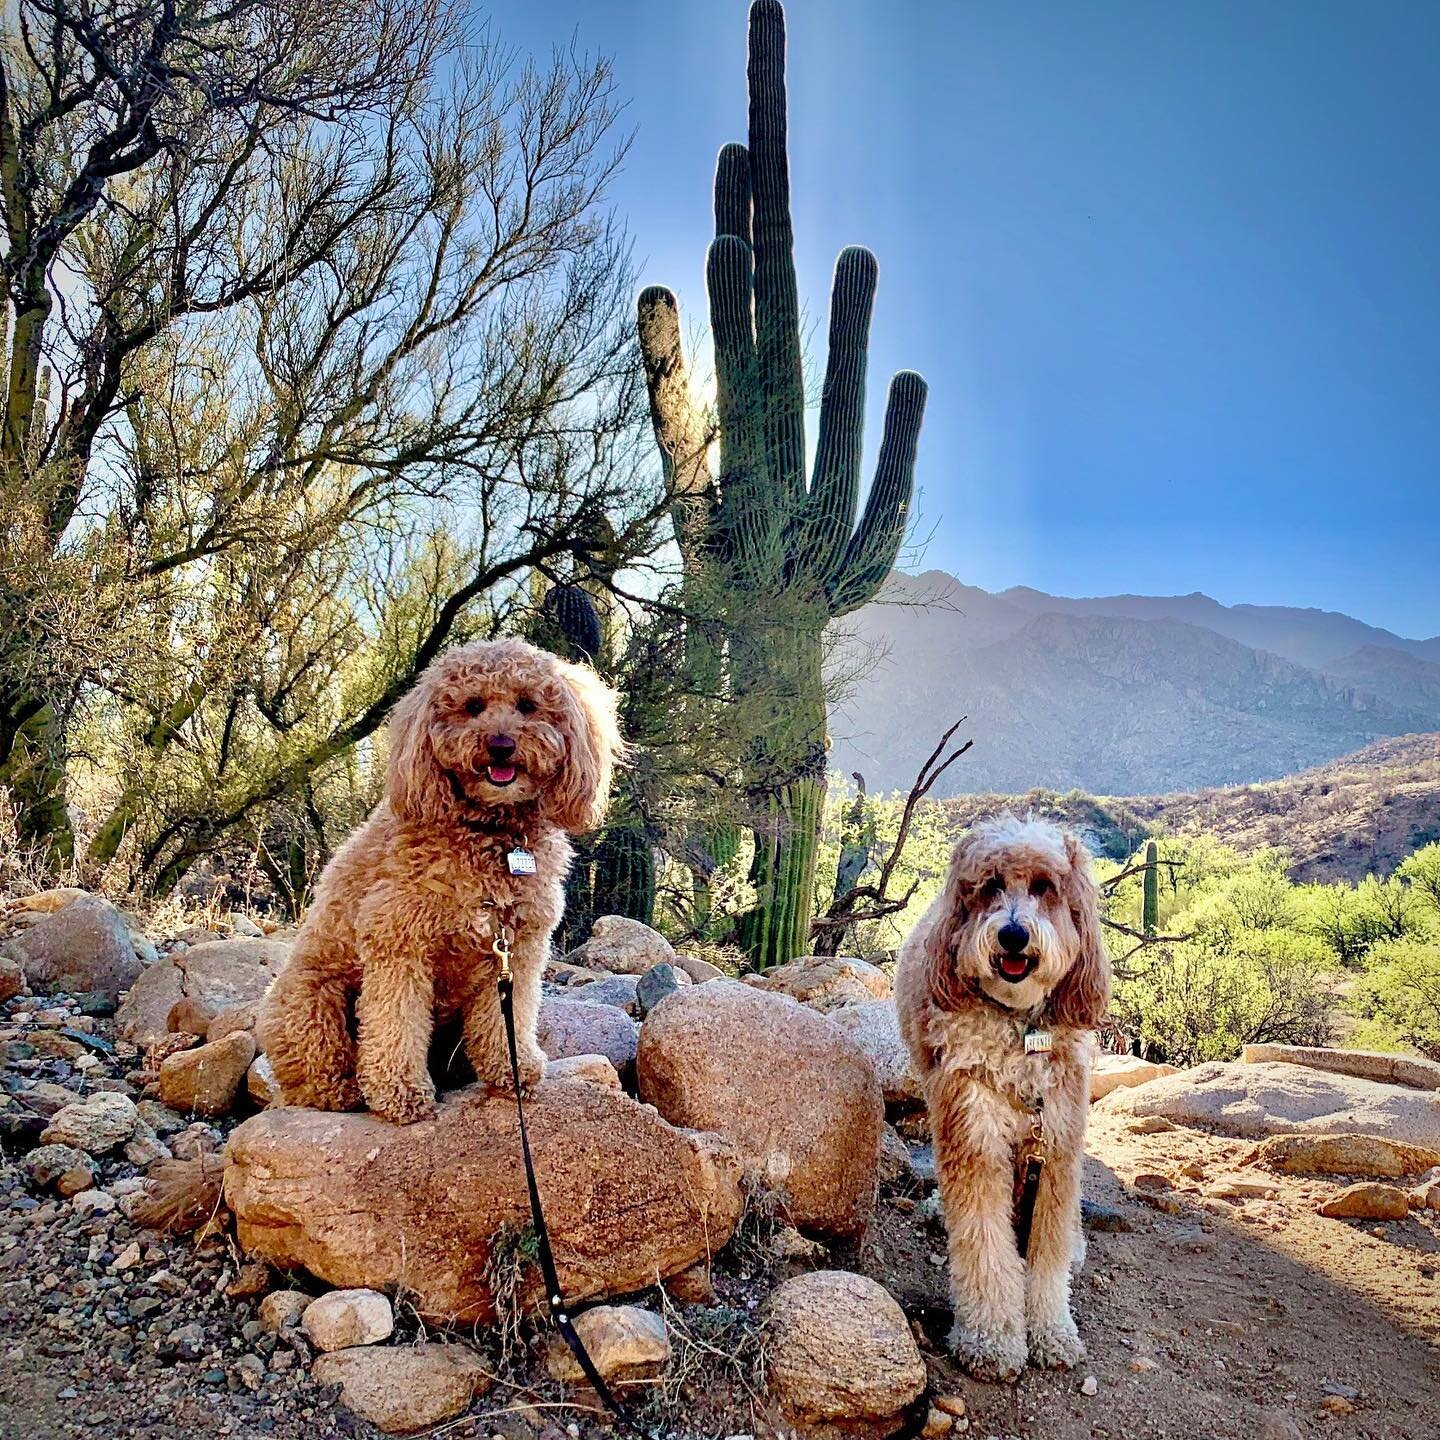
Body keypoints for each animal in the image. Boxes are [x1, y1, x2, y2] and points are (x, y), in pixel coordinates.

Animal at [259, 639, 619, 1123]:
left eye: (527, 705)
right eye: (473, 706)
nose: (500, 744)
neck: (491, 833)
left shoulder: (518, 947)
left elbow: (508, 1017)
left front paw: (514, 1068)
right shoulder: (399, 940)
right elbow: (396, 1023)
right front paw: (401, 1092)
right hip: (310, 1000)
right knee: (314, 1074)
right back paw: (345, 1090)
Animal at [887, 817, 1111, 1376]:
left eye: (1045, 887)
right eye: (990, 886)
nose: (1013, 933)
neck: (1020, 1027)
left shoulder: (1057, 1140)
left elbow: (1047, 1246)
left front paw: (1052, 1331)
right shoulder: (974, 1129)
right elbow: (985, 1241)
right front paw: (991, 1341)